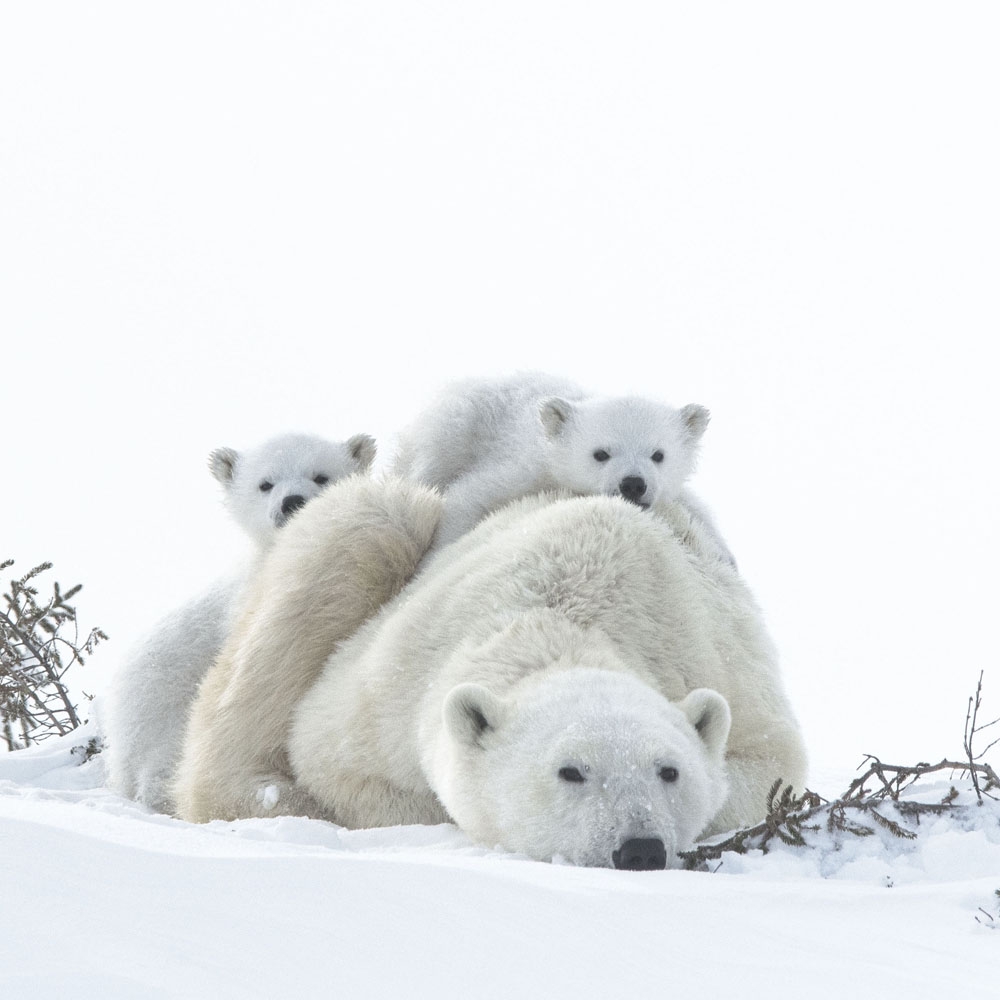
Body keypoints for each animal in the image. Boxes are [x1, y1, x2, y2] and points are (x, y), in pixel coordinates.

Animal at [172, 477, 806, 870]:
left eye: (669, 770)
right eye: (570, 771)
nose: (639, 850)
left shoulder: (703, 647)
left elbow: (766, 765)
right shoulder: (392, 682)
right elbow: (328, 753)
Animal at [390, 371, 733, 562]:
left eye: (658, 454)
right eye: (600, 453)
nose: (633, 484)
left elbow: (693, 506)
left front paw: (725, 555)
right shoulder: (526, 466)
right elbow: (470, 496)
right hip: (455, 424)